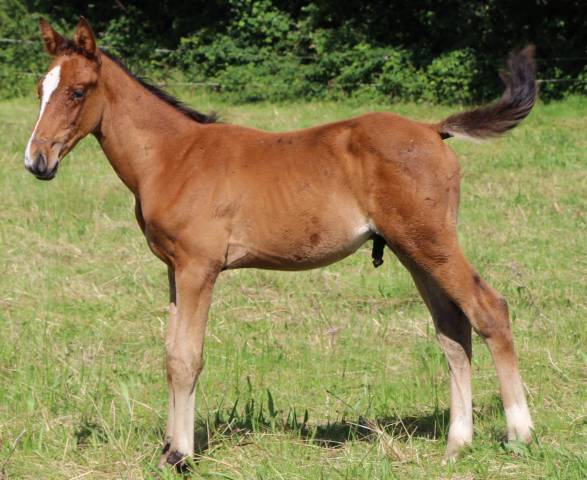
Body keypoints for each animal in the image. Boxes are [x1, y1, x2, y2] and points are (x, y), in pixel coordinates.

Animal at [24, 16, 536, 466]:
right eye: (40, 90)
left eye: (77, 91)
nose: (37, 161)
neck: (173, 157)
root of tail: (433, 130)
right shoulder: (173, 269)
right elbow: (170, 353)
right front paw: (169, 448)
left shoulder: (198, 268)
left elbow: (187, 357)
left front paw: (182, 455)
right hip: (412, 251)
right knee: (452, 329)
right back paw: (457, 444)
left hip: (432, 243)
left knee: (489, 310)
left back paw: (520, 434)